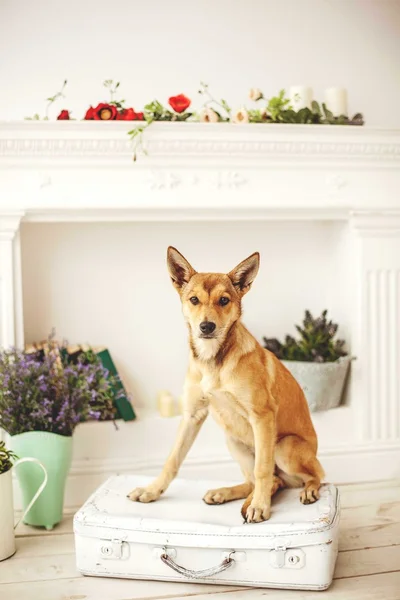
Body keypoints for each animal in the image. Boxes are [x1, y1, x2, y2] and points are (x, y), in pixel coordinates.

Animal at [128, 246, 324, 524]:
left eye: (224, 300)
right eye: (194, 300)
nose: (206, 326)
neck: (213, 361)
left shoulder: (262, 416)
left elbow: (263, 469)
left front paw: (260, 507)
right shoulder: (192, 415)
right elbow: (173, 459)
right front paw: (152, 490)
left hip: (284, 446)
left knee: (311, 475)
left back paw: (304, 491)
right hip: (233, 441)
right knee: (266, 481)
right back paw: (224, 492)